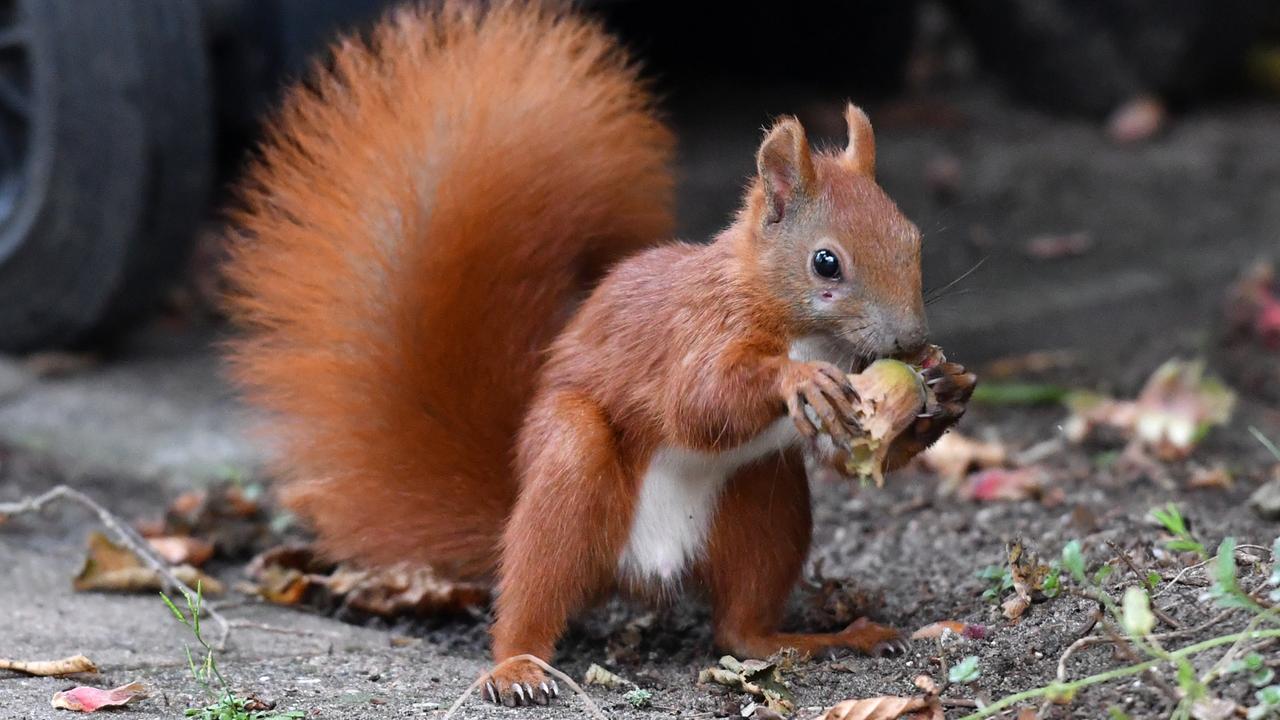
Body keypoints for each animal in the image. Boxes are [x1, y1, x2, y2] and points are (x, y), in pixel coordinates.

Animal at [225, 1, 976, 708]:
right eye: (826, 263)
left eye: (912, 240)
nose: (911, 341)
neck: (797, 322)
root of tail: (640, 569)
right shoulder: (693, 330)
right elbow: (696, 404)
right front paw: (796, 379)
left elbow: (842, 454)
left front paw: (943, 391)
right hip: (570, 467)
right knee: (536, 585)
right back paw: (516, 667)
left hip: (764, 498)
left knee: (739, 629)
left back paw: (824, 637)